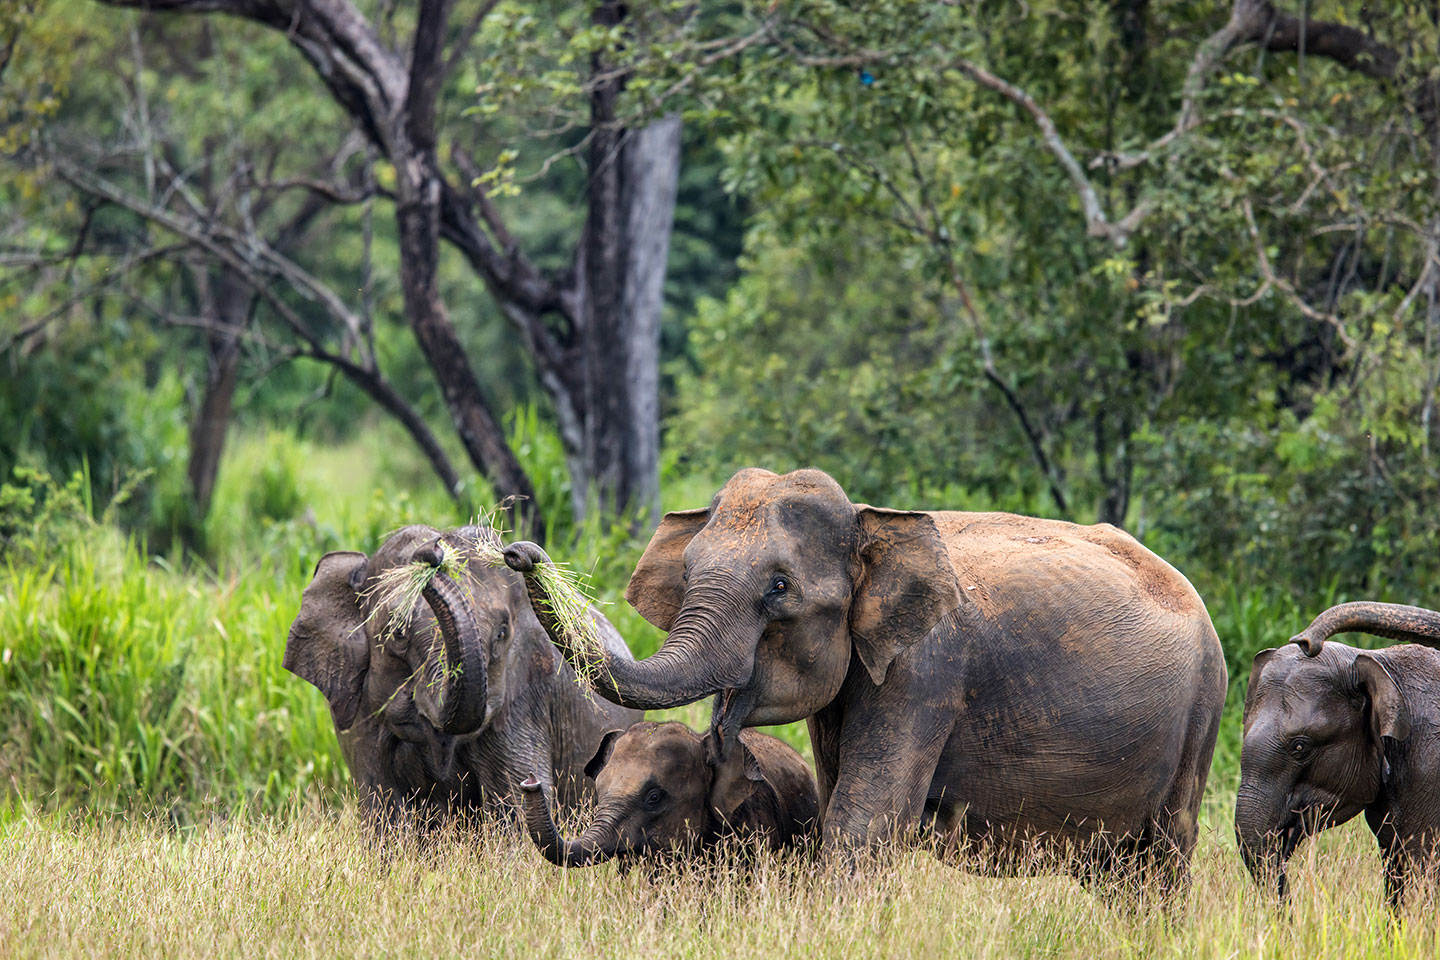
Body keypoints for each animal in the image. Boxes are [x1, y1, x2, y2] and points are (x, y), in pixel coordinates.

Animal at [284, 523, 640, 826]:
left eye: (502, 633)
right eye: (397, 633)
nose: (432, 549)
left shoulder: (523, 698)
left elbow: (514, 808)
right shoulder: (359, 713)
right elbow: (382, 807)